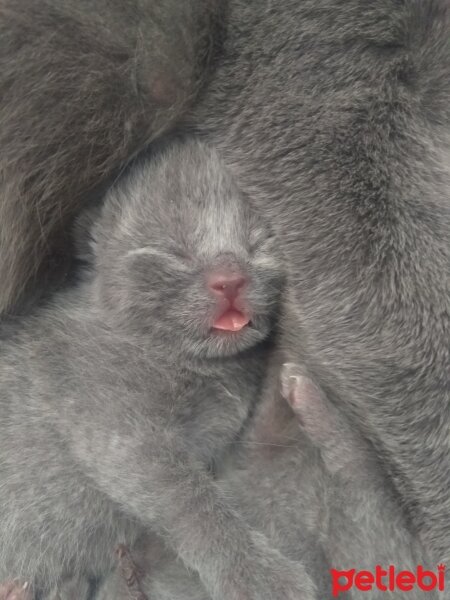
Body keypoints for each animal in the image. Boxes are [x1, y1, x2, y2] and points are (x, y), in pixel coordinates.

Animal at [0, 137, 316, 600]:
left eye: (258, 244)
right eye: (172, 250)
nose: (230, 279)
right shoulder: (122, 430)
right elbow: (194, 504)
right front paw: (258, 575)